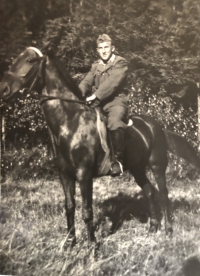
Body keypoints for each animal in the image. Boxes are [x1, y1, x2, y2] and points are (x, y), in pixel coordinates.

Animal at [0, 47, 200, 246]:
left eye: (30, 60)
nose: (4, 89)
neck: (70, 122)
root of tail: (156, 126)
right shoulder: (64, 175)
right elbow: (70, 207)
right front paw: (70, 242)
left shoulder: (84, 174)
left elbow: (87, 211)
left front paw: (92, 245)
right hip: (137, 168)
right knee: (149, 191)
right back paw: (152, 227)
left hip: (157, 166)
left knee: (164, 194)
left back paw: (168, 230)